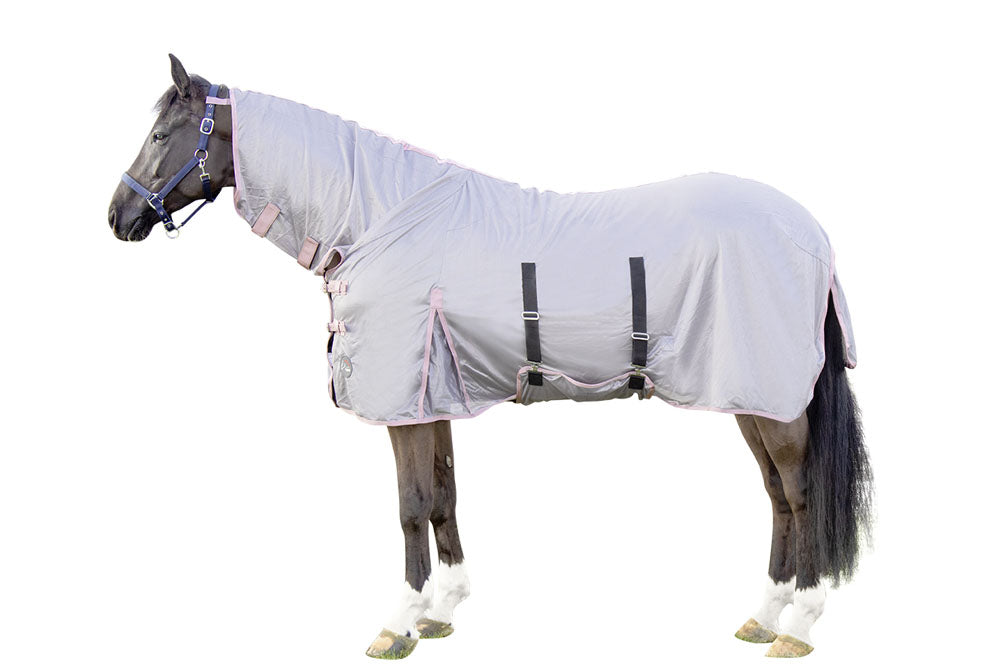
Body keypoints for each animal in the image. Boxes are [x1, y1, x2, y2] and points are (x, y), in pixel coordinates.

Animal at [108, 55, 873, 660]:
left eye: (159, 135)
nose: (117, 216)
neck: (380, 216)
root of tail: (813, 235)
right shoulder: (432, 395)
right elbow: (443, 495)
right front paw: (443, 609)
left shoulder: (403, 406)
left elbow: (411, 504)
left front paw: (399, 622)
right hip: (751, 395)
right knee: (776, 496)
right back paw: (764, 614)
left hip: (775, 403)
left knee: (799, 494)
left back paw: (798, 623)